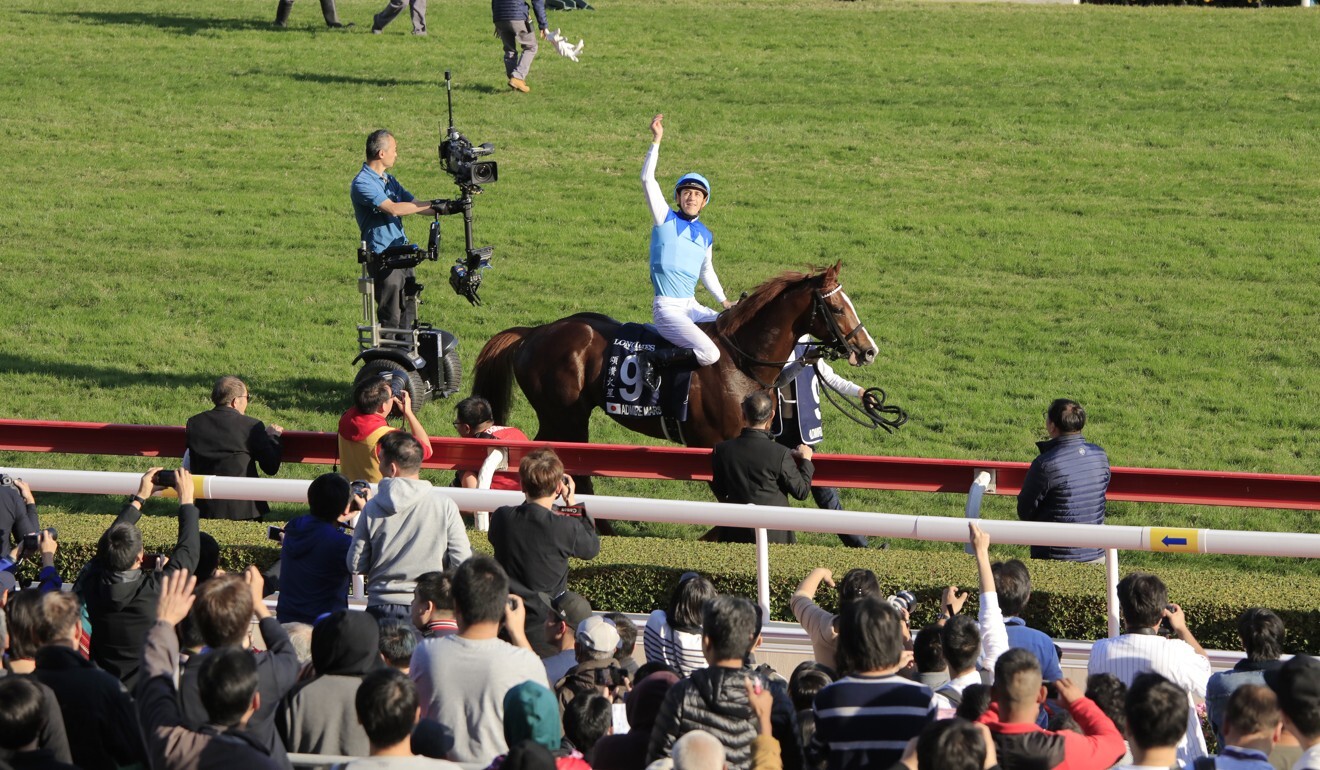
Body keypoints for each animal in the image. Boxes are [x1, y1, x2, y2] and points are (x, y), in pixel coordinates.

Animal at [475, 261, 876, 493]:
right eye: (836, 307)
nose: (868, 349)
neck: (740, 359)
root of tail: (533, 332)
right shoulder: (715, 445)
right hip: (563, 416)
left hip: (569, 418)